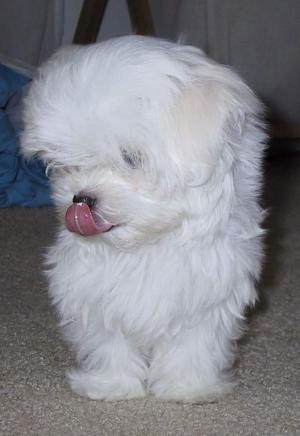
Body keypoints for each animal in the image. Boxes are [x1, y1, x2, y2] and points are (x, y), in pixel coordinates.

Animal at [20, 35, 264, 404]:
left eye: (131, 158)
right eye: (68, 164)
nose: (82, 198)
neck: (147, 246)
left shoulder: (210, 295)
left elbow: (193, 345)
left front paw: (187, 387)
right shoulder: (93, 294)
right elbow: (109, 342)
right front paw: (111, 385)